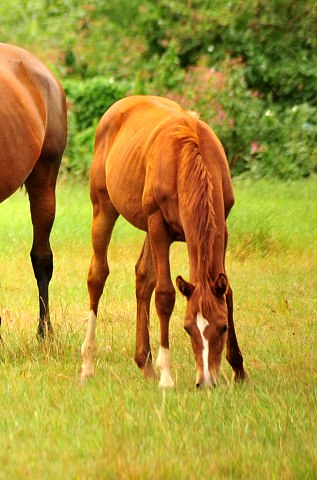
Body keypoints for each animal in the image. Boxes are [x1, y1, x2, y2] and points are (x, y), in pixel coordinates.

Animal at [78, 95, 244, 388]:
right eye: (187, 329)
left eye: (223, 327)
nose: (206, 381)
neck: (189, 156)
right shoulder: (158, 227)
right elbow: (165, 295)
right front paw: (166, 374)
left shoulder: (221, 227)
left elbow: (228, 293)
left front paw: (238, 369)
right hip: (104, 208)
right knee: (97, 277)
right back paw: (88, 365)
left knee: (143, 277)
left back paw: (144, 363)